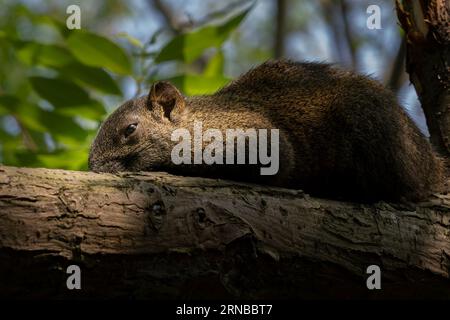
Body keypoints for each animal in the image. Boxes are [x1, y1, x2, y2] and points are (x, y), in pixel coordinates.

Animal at [88, 59, 442, 202]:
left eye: (131, 129)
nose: (94, 167)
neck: (202, 121)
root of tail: (431, 163)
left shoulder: (255, 137)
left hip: (373, 128)